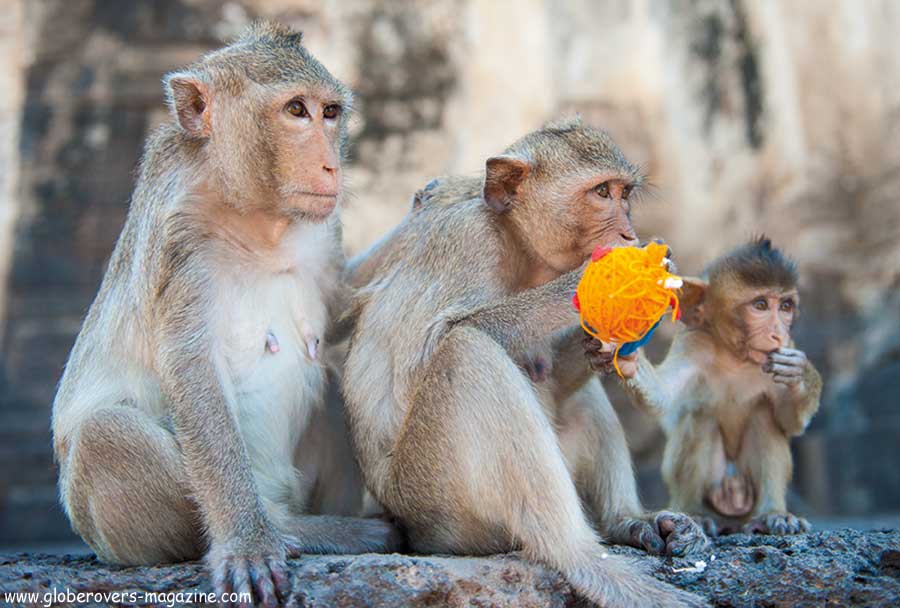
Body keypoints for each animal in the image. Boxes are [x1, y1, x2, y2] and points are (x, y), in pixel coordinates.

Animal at [51, 21, 398, 604]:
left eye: (330, 112)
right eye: (296, 110)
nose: (332, 165)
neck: (256, 219)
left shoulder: (323, 229)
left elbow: (343, 314)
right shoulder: (182, 241)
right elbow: (193, 372)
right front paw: (247, 545)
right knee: (104, 432)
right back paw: (294, 530)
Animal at [342, 119, 712, 608]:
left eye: (625, 193)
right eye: (602, 193)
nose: (629, 236)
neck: (515, 242)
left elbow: (559, 375)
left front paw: (615, 350)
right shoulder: (468, 240)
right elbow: (432, 345)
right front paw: (600, 283)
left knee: (574, 397)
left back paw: (628, 520)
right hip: (435, 502)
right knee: (466, 352)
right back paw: (584, 558)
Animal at [620, 238, 824, 536]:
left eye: (786, 306)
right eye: (760, 305)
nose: (778, 333)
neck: (734, 357)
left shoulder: (788, 347)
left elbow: (790, 424)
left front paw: (799, 373)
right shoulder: (693, 344)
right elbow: (662, 398)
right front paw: (627, 355)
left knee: (763, 415)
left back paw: (773, 514)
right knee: (700, 417)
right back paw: (696, 513)